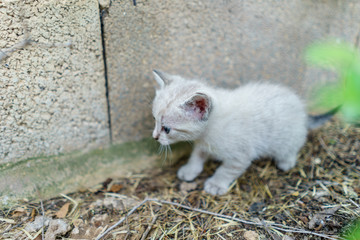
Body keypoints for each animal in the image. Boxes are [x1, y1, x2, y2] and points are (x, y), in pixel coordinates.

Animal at [151, 69, 338, 195]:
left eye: (167, 129)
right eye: (155, 120)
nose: (154, 137)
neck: (209, 132)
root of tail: (303, 112)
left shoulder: (240, 156)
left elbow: (225, 170)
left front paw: (216, 184)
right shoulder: (202, 144)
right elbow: (196, 156)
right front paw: (190, 170)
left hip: (287, 139)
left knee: (292, 147)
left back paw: (286, 162)